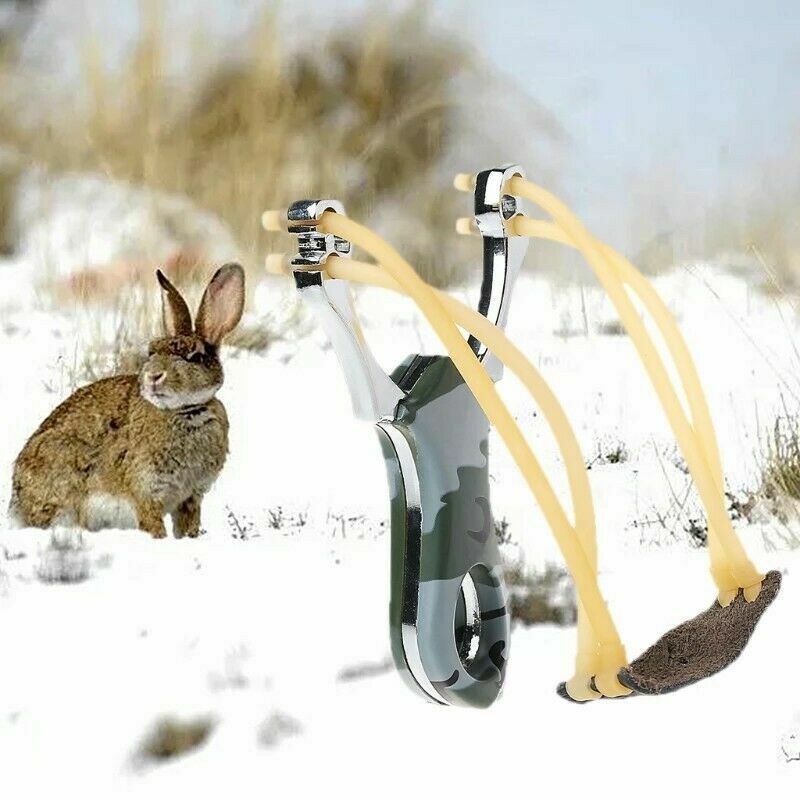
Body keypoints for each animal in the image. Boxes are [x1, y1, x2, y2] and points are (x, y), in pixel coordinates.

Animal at [9, 263, 245, 538]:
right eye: (152, 351)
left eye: (195, 357)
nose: (154, 376)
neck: (185, 410)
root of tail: (17, 505)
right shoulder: (146, 490)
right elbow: (153, 524)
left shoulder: (191, 497)